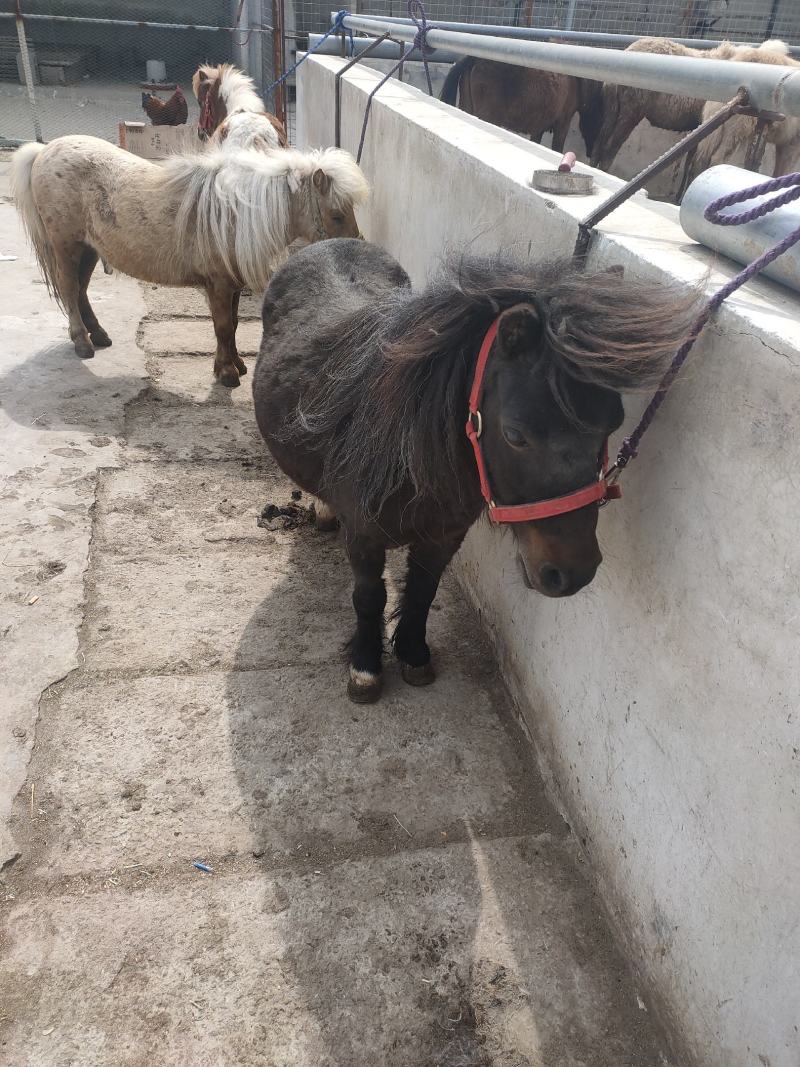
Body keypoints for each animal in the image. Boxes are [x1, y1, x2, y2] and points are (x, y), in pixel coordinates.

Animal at [11, 136, 368, 388]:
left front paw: (235, 365)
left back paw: (98, 335)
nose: (355, 248)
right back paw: (82, 343)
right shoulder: (219, 285)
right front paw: (227, 374)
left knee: (82, 291)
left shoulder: (231, 286)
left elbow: (232, 326)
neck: (234, 216)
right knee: (70, 290)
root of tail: (44, 150)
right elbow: (222, 327)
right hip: (66, 246)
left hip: (89, 249)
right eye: (336, 215)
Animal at [253, 239, 698, 703]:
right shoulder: (363, 536)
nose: (573, 573)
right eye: (516, 434)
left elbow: (423, 589)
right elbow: (369, 597)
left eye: (612, 424)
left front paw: (413, 654)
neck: (404, 452)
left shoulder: (445, 535)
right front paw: (365, 668)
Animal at [440, 57, 604, 157]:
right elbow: (557, 148)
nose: (591, 152)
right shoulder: (563, 123)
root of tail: (474, 58)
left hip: (467, 109)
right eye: (598, 119)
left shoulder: (539, 126)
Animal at [591, 38, 790, 173]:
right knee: (610, 147)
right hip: (631, 111)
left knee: (598, 145)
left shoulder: (698, 128)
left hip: (613, 109)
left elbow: (690, 163)